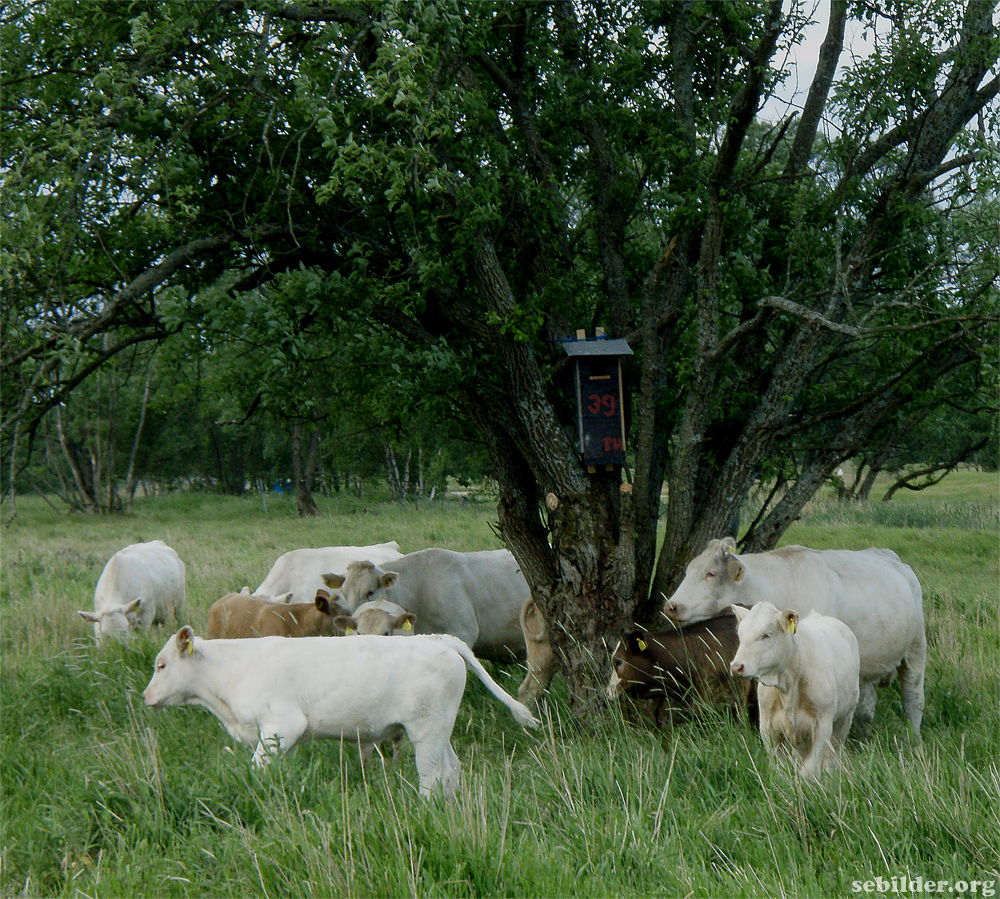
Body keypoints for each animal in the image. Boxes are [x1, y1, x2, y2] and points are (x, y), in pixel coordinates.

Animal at [142, 627, 540, 798]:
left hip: (425, 732)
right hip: (439, 730)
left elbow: (256, 769)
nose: (146, 697)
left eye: (162, 665)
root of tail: (435, 639)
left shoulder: (282, 725)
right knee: (451, 771)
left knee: (431, 776)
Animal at [661, 537, 925, 736]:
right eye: (688, 571)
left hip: (916, 648)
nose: (671, 606)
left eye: (711, 573)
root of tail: (889, 555)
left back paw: (914, 738)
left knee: (913, 696)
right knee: (866, 705)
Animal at [731, 602, 861, 780]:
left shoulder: (822, 725)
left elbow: (808, 771)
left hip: (845, 718)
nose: (737, 667)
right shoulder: (767, 727)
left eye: (766, 635)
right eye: (740, 635)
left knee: (832, 754)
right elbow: (779, 769)